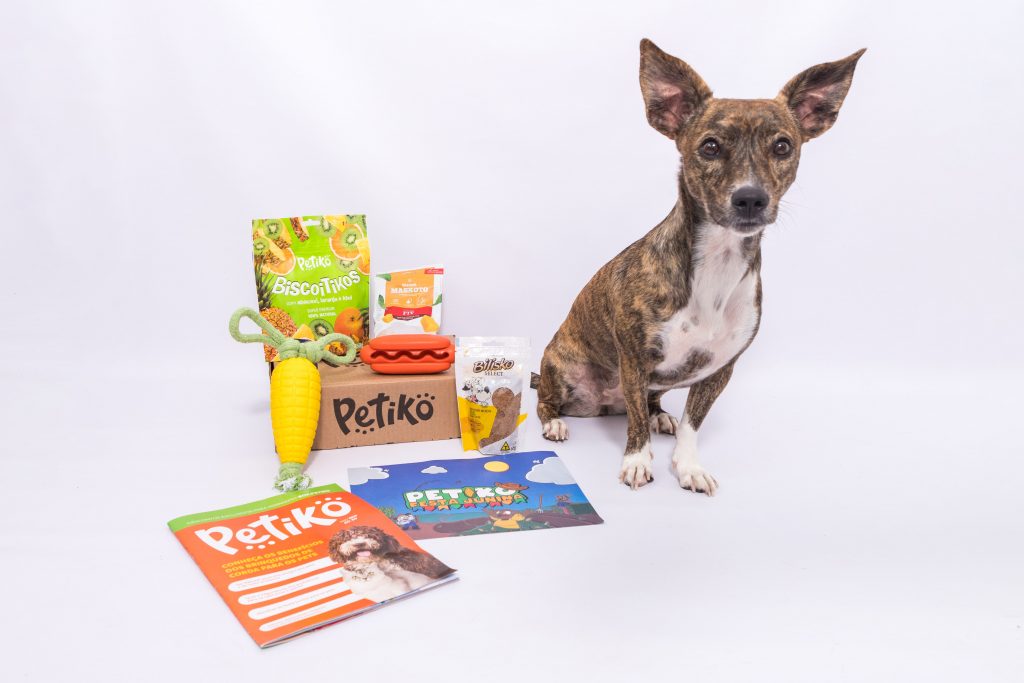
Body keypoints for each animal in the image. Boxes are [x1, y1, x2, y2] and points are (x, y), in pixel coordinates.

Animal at [536, 38, 864, 491]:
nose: (750, 198)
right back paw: (556, 424)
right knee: (547, 401)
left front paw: (688, 465)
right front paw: (636, 461)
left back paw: (661, 417)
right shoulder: (634, 361)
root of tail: (601, 403)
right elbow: (635, 427)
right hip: (559, 365)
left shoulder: (718, 371)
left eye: (783, 146)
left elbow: (694, 422)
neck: (716, 265)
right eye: (710, 146)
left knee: (648, 406)